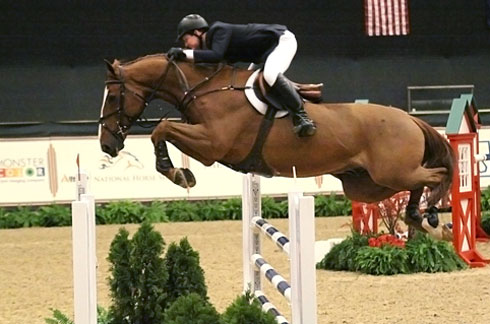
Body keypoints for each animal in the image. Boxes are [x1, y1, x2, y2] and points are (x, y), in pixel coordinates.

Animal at [99, 53, 456, 240]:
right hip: (368, 185)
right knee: (419, 182)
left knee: (436, 175)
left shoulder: (212, 146)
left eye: (114, 96)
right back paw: (418, 218)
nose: (106, 145)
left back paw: (431, 216)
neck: (203, 88)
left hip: (392, 173)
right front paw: (180, 174)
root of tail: (410, 119)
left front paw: (176, 173)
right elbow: (164, 130)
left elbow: (162, 129)